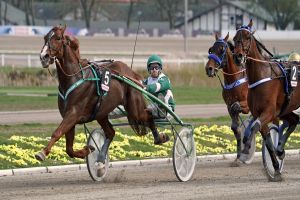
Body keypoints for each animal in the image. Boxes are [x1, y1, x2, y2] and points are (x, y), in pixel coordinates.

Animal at [35, 25, 169, 172]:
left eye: (58, 38)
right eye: (45, 38)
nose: (44, 57)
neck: (74, 77)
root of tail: (131, 73)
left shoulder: (73, 113)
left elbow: (57, 132)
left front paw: (42, 153)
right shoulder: (68, 116)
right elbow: (69, 149)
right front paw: (87, 150)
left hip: (134, 109)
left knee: (148, 115)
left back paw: (160, 137)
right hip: (102, 112)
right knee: (110, 132)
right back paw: (100, 158)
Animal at [205, 33, 250, 166]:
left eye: (221, 49)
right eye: (211, 49)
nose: (209, 68)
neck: (235, 79)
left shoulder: (246, 105)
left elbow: (236, 106)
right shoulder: (228, 106)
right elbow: (235, 128)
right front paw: (238, 158)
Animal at [234, 19, 300, 180]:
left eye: (247, 37)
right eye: (234, 38)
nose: (238, 56)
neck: (262, 75)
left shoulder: (268, 112)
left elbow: (255, 126)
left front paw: (246, 149)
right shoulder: (261, 113)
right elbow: (268, 142)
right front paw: (276, 169)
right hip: (286, 110)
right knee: (294, 120)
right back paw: (280, 149)